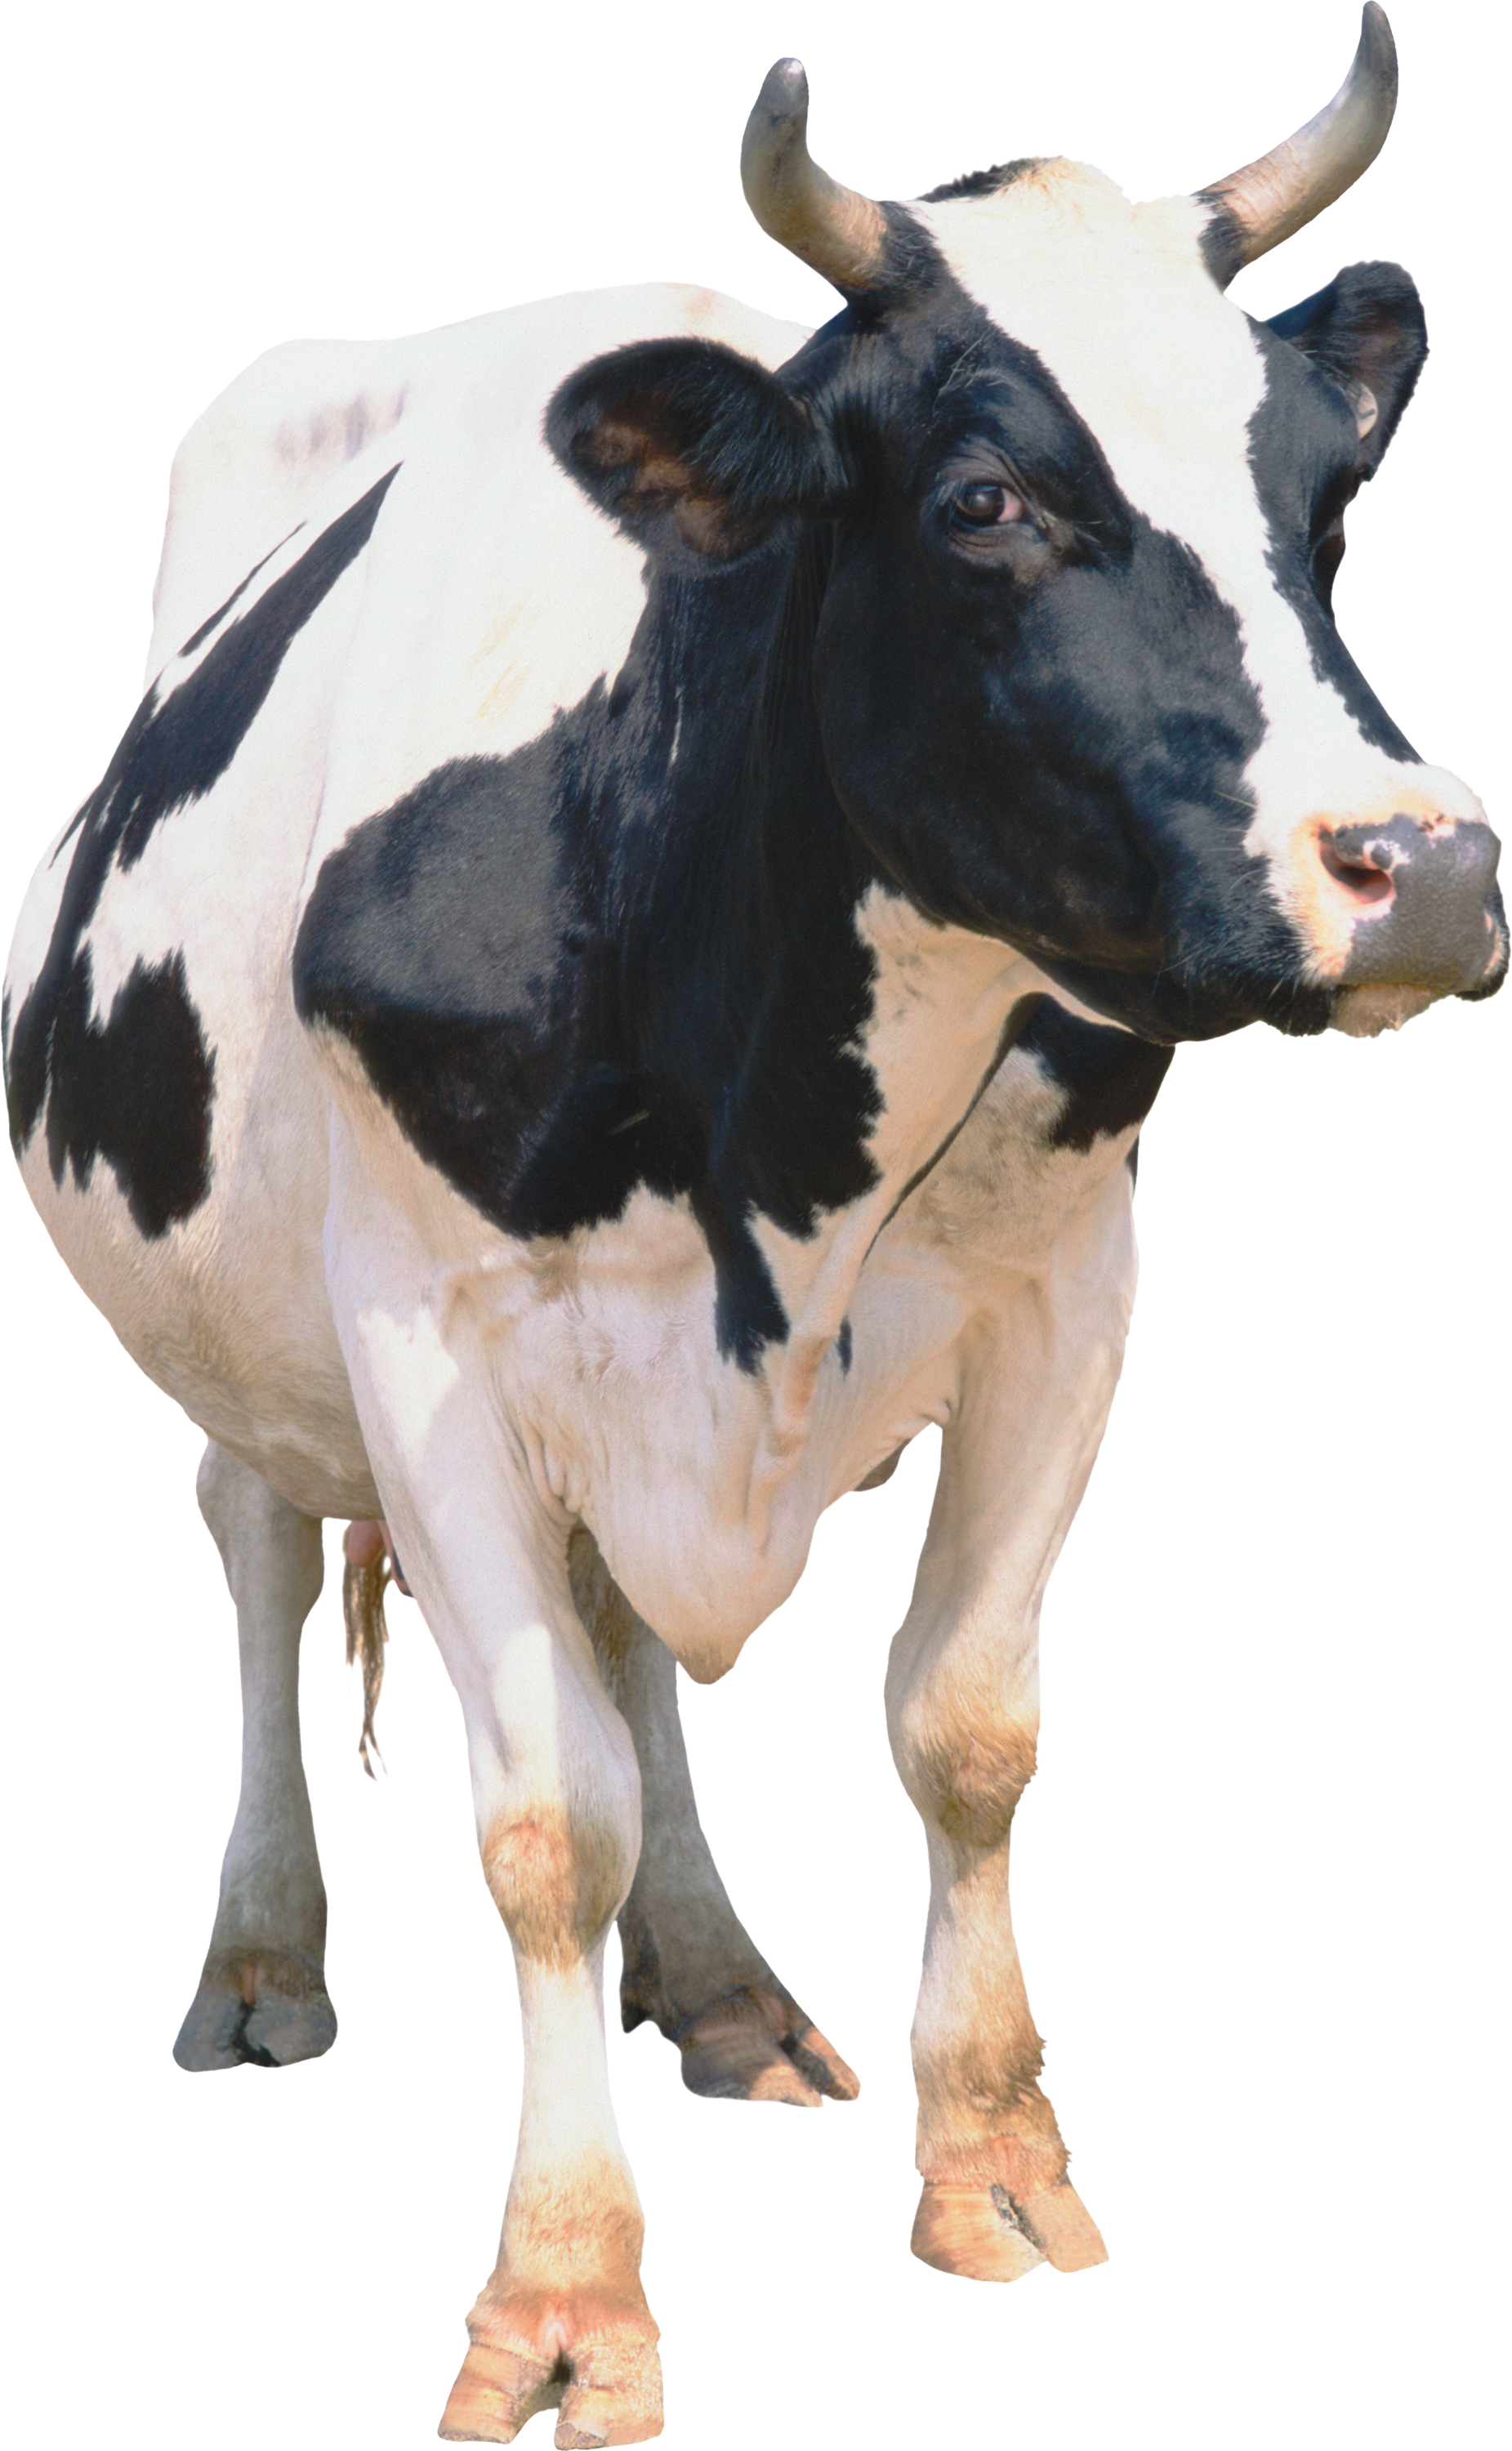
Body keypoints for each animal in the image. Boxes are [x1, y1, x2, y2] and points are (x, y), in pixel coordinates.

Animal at [6, 12, 1504, 2442]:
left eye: (1324, 495)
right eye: (985, 502)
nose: (1428, 870)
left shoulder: (1059, 1289)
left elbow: (963, 1734)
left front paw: (996, 2180)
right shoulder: (425, 1333)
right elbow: (546, 1818)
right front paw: (560, 2306)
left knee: (630, 1629)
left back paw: (713, 1983)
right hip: (241, 1324)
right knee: (254, 1545)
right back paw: (258, 1954)